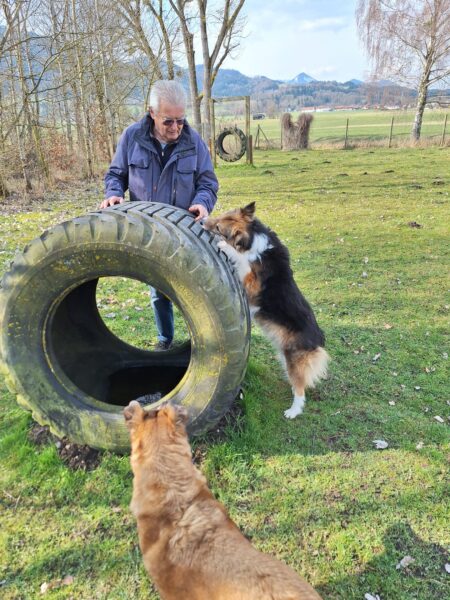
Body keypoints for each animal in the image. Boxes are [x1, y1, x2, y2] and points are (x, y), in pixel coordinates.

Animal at [204, 202, 328, 419]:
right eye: (219, 217)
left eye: (218, 228)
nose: (202, 220)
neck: (252, 239)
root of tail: (318, 338)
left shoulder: (252, 282)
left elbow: (241, 260)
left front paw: (226, 247)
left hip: (293, 359)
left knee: (300, 389)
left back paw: (293, 411)